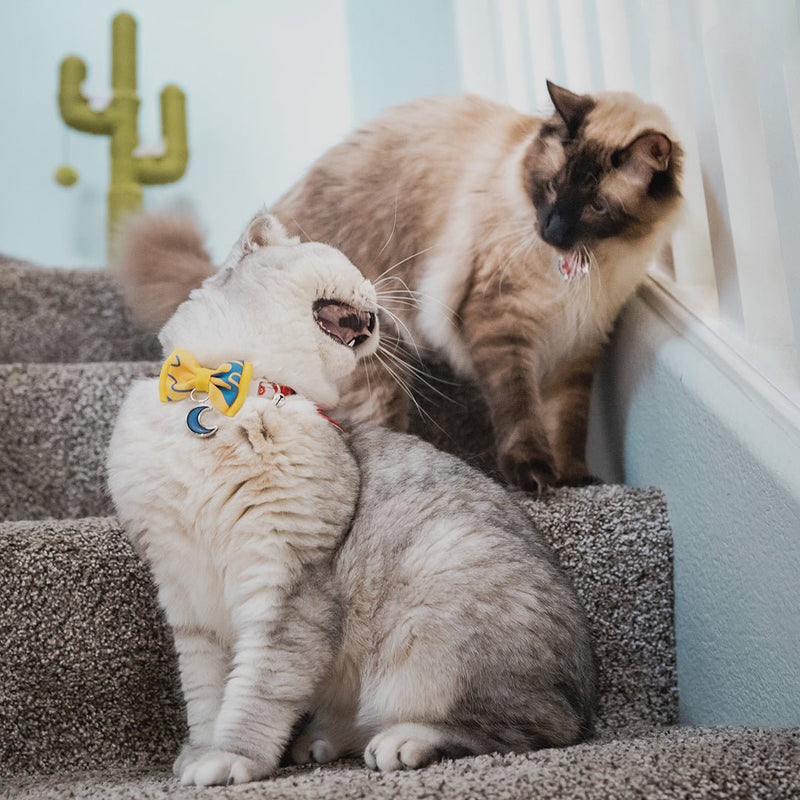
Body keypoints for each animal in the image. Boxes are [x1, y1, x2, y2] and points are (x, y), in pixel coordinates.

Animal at [106, 212, 592, 788]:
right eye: (347, 263)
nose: (380, 297)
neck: (234, 399)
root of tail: (586, 694)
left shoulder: (287, 582)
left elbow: (255, 691)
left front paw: (232, 758)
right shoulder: (187, 597)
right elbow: (207, 696)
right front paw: (202, 750)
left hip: (436, 621)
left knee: (530, 728)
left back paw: (405, 740)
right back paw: (321, 740)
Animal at [119, 83, 680, 494]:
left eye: (595, 207)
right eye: (550, 189)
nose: (552, 231)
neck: (590, 271)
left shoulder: (582, 343)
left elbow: (569, 424)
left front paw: (578, 480)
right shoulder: (502, 326)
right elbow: (520, 410)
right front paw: (537, 477)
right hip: (380, 359)